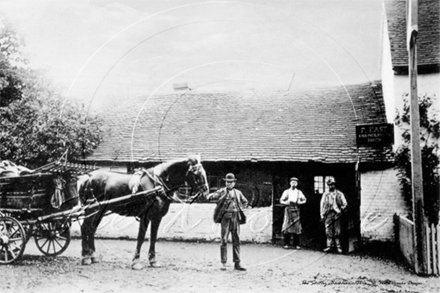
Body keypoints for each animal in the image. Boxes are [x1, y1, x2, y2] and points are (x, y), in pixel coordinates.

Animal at [78, 155, 209, 270]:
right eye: (196, 173)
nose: (206, 192)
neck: (157, 184)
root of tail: (88, 178)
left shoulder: (157, 217)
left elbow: (153, 237)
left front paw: (153, 261)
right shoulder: (144, 217)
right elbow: (140, 238)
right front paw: (136, 262)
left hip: (100, 211)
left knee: (91, 229)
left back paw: (93, 256)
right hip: (92, 209)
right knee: (85, 228)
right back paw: (85, 258)